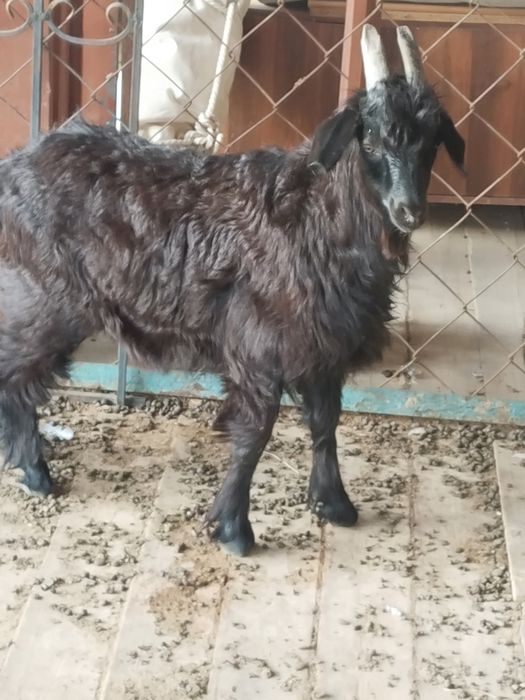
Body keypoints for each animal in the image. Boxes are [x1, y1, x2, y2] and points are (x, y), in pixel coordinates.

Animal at [0, 26, 464, 556]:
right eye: (370, 137)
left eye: (432, 141)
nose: (410, 210)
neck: (316, 220)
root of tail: (11, 169)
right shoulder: (257, 345)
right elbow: (254, 433)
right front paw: (233, 528)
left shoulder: (325, 348)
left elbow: (326, 421)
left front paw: (334, 504)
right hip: (44, 299)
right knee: (15, 373)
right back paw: (36, 471)